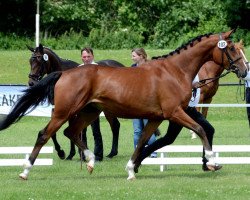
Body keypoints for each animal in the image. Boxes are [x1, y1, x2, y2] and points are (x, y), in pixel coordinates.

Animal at [0, 30, 246, 181]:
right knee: (45, 134)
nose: (244, 71)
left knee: (72, 132)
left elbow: (143, 141)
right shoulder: (174, 112)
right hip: (63, 112)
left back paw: (91, 161)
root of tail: (64, 73)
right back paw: (25, 171)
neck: (175, 71)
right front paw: (213, 162)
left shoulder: (157, 117)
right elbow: (200, 129)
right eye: (232, 49)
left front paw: (131, 170)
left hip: (90, 112)